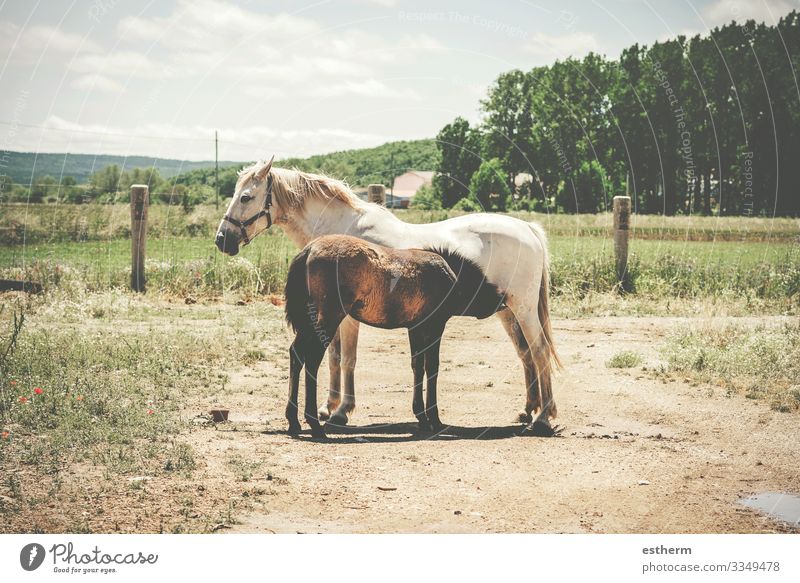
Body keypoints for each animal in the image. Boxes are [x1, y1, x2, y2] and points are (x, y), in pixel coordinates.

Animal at [216, 157, 560, 436]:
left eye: (246, 197)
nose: (222, 240)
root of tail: (527, 229)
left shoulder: (348, 319)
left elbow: (346, 358)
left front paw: (341, 411)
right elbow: (334, 358)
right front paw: (330, 407)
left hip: (524, 310)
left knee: (540, 352)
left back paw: (543, 417)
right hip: (508, 312)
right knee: (526, 355)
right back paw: (528, 410)